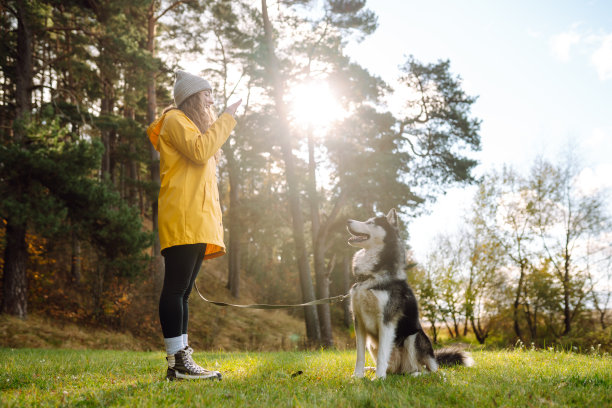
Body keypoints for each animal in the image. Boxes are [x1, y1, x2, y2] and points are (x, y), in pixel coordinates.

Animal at [350, 210, 474, 380]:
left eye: (371, 222)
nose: (347, 221)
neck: (371, 276)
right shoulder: (359, 320)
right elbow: (359, 356)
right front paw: (358, 376)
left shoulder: (386, 320)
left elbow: (382, 355)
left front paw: (379, 378)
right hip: (373, 345)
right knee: (397, 369)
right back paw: (375, 369)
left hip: (414, 337)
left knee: (429, 371)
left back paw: (414, 375)